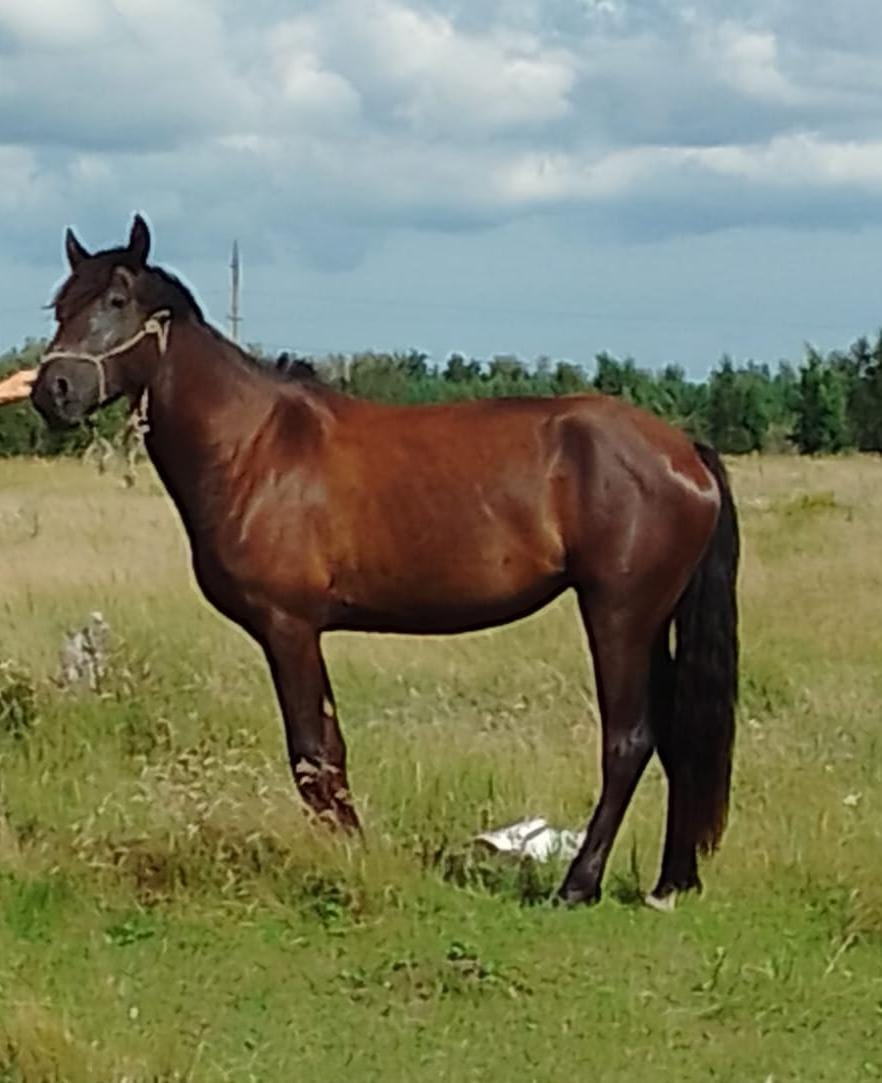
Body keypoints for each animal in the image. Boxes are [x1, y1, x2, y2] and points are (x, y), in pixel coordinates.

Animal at [31, 213, 741, 905]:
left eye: (117, 301)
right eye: (60, 306)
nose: (51, 389)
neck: (254, 448)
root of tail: (683, 451)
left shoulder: (289, 628)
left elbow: (312, 754)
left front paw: (350, 861)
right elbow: (328, 751)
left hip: (618, 614)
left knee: (629, 741)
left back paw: (578, 884)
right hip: (650, 620)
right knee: (676, 737)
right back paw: (670, 883)